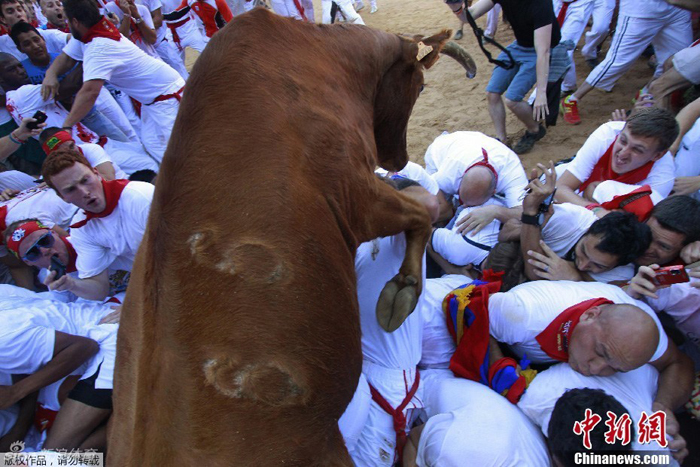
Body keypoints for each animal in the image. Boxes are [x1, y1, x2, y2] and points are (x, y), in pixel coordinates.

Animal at [108, 8, 476, 467]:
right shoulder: (360, 197)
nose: (398, 158)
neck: (325, 57)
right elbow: (423, 213)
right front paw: (404, 288)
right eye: (420, 85)